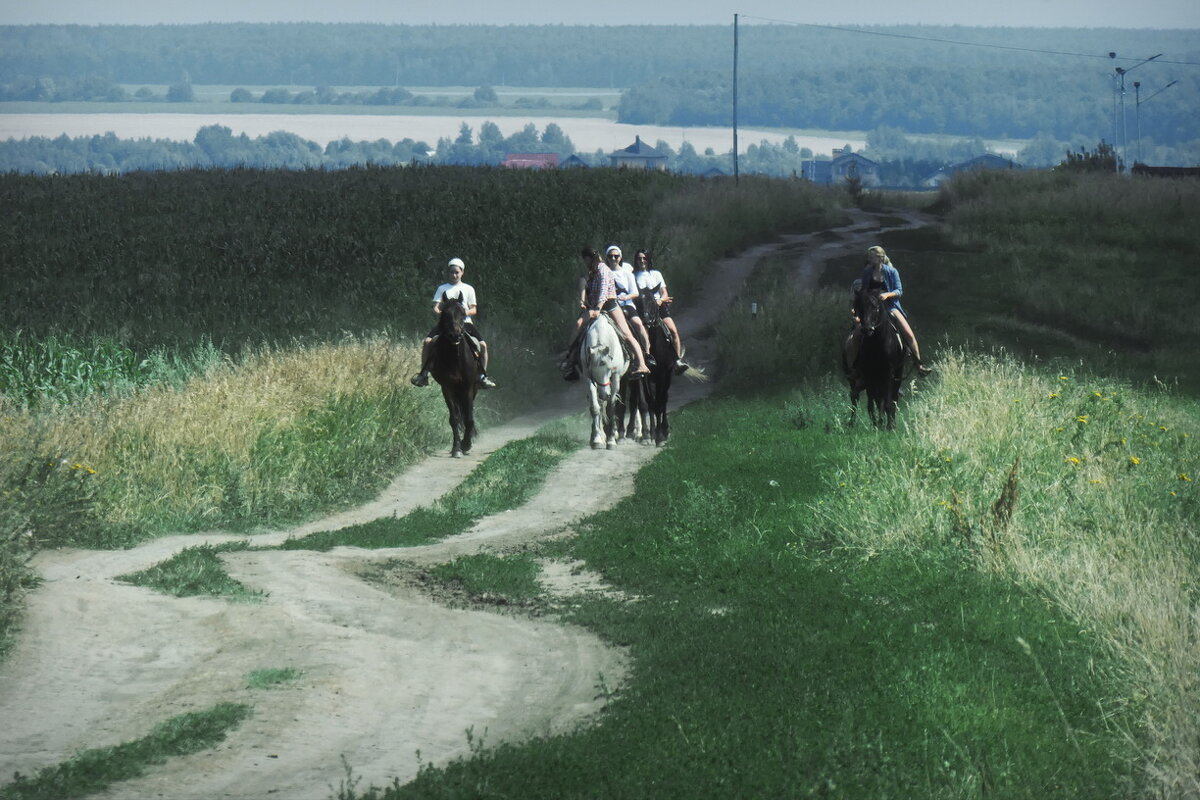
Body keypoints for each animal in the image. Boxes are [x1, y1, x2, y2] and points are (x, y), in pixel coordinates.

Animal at [429, 292, 480, 455]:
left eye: (463, 314)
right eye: (445, 314)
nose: (455, 336)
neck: (456, 359)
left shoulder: (469, 387)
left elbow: (468, 418)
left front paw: (466, 444)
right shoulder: (447, 388)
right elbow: (454, 418)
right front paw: (457, 447)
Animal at [578, 314, 628, 450]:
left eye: (610, 368)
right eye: (592, 371)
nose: (605, 394)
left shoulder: (615, 377)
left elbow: (611, 408)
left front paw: (611, 440)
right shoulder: (588, 378)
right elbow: (595, 408)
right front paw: (597, 439)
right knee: (601, 404)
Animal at [849, 284, 902, 429]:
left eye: (875, 307)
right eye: (859, 308)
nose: (867, 329)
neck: (877, 343)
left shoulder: (888, 373)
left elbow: (888, 401)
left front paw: (889, 427)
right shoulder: (869, 374)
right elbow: (872, 403)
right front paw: (876, 425)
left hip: (897, 375)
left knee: (893, 398)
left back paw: (891, 423)